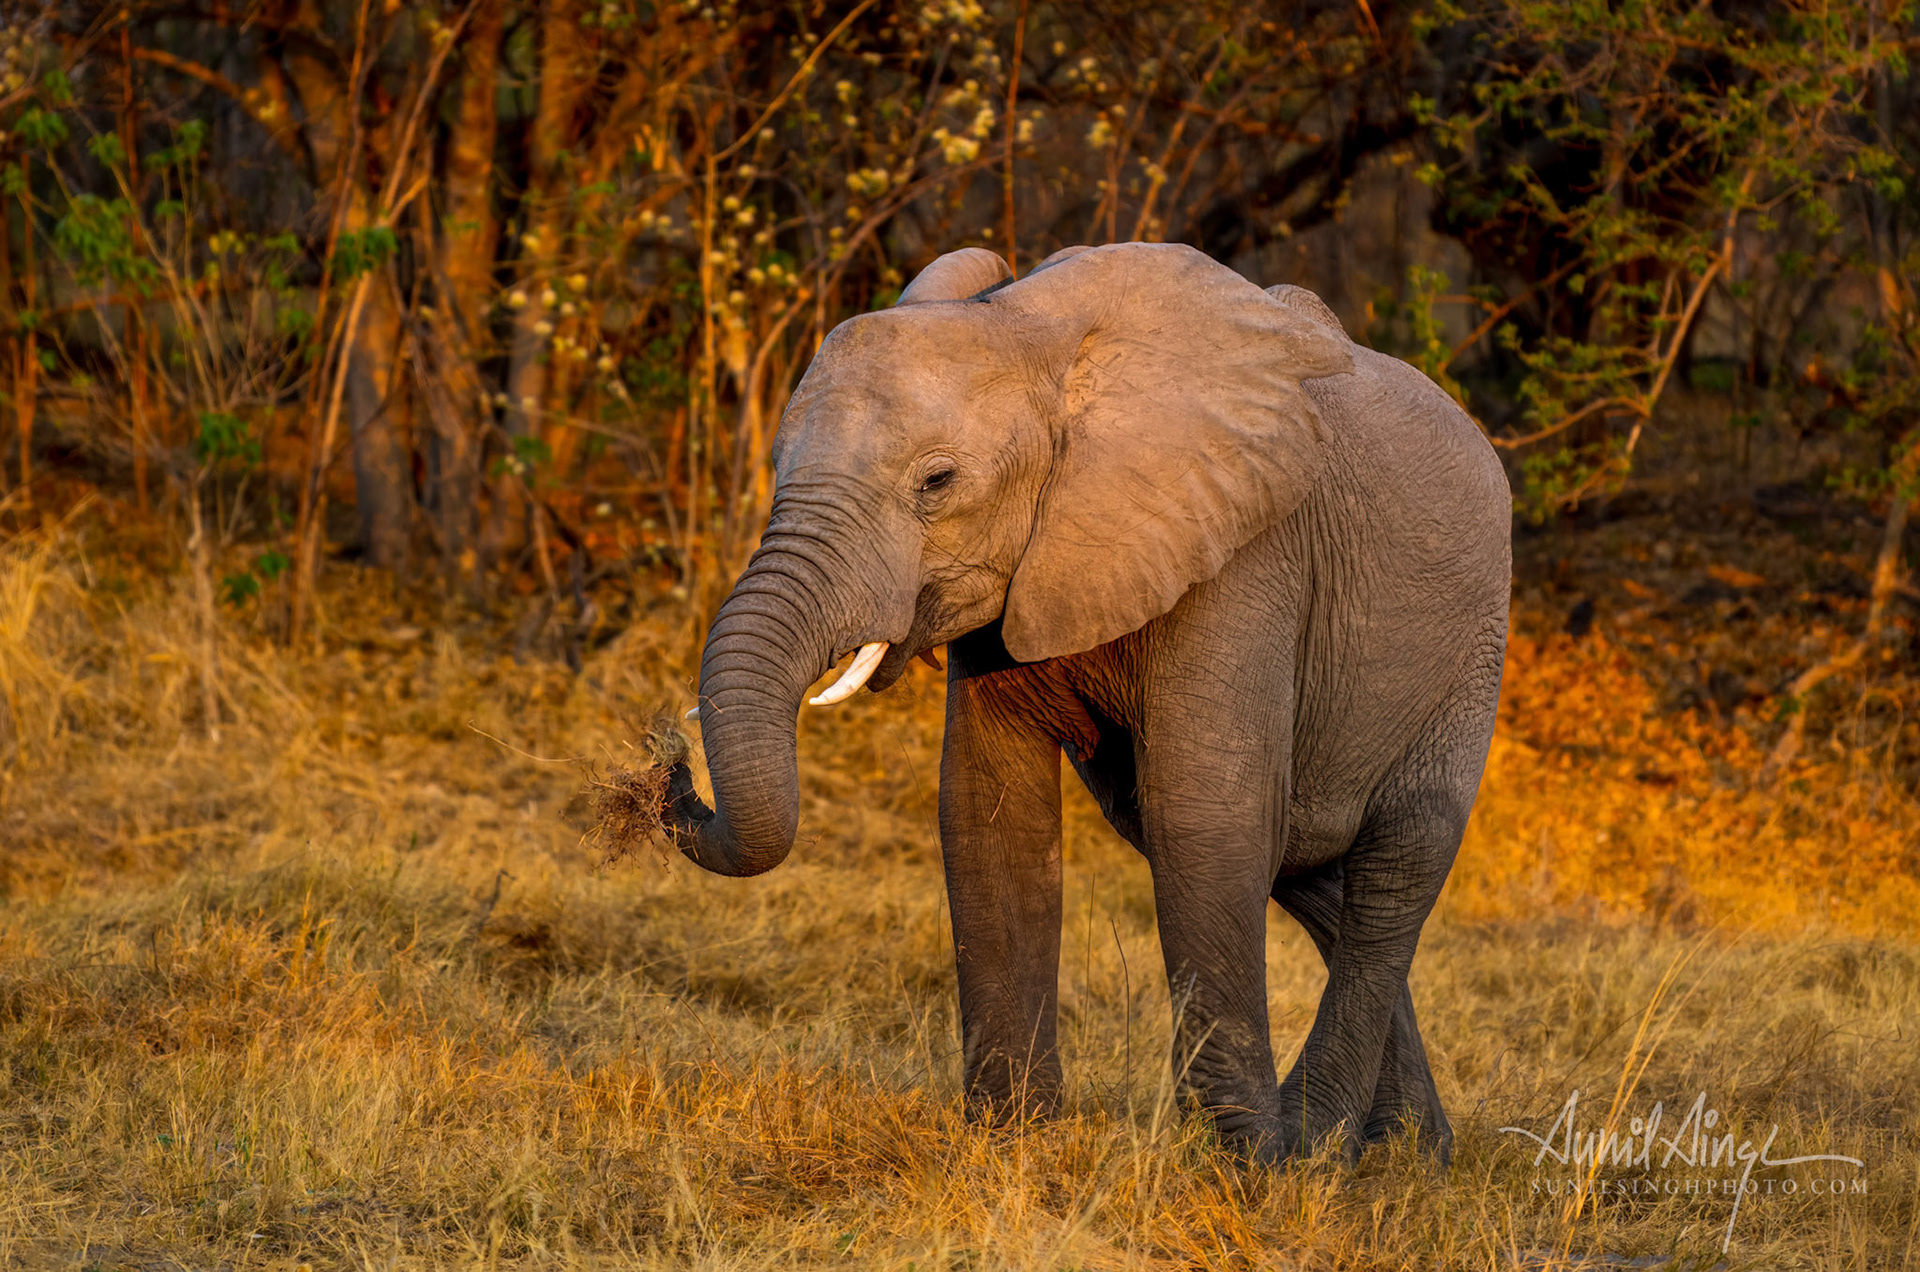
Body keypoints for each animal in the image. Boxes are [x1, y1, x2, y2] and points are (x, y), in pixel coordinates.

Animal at [660, 241, 1510, 1165]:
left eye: (937, 482)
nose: (670, 770)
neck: (1027, 328)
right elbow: (987, 808)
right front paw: (1012, 1140)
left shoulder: (1247, 553)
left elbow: (1206, 813)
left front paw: (1246, 1164)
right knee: (1311, 873)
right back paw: (1405, 1154)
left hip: (1471, 651)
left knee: (1397, 865)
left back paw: (1319, 1145)